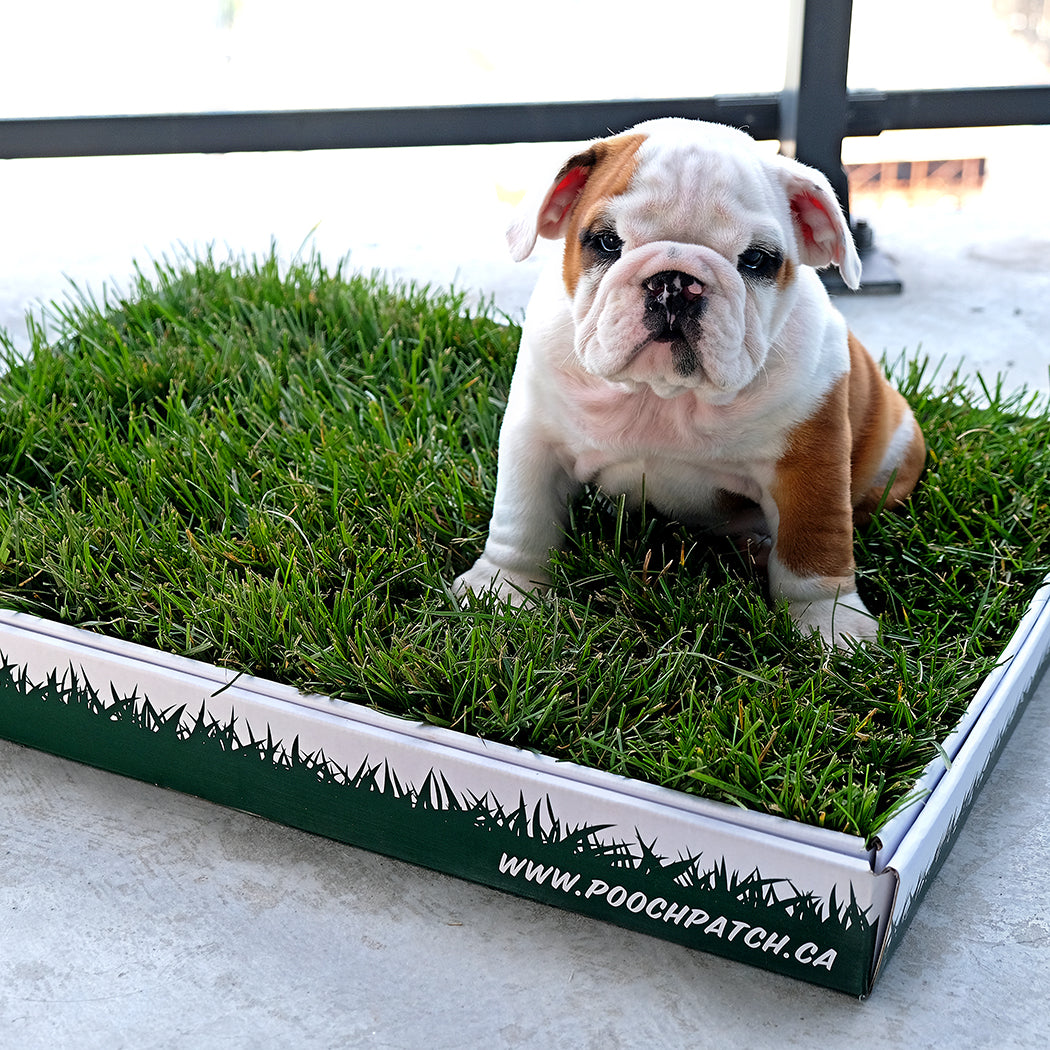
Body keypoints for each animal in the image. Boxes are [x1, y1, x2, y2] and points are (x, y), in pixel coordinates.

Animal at [455, 112, 923, 638]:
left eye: (756, 260)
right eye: (607, 242)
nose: (675, 281)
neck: (663, 395)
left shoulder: (810, 463)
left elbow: (813, 545)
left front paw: (829, 623)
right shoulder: (535, 437)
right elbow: (523, 516)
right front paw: (504, 588)